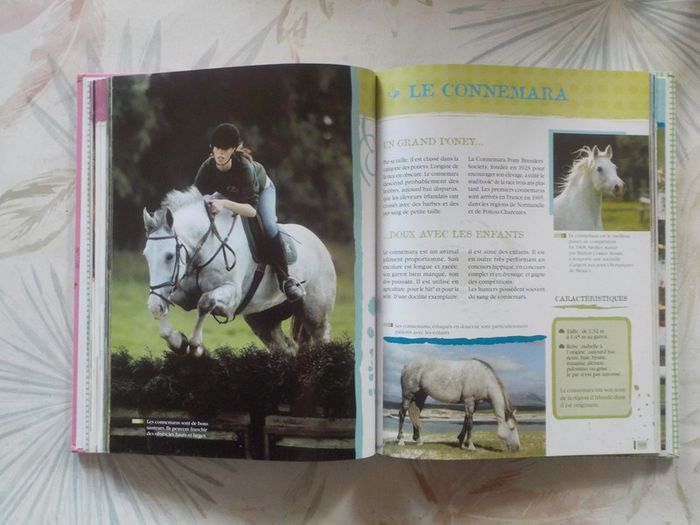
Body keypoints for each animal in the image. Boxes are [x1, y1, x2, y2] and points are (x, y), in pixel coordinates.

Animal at [142, 186, 336, 356]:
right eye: (146, 256)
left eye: (169, 256)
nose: (155, 304)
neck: (205, 247)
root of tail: (319, 243)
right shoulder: (182, 294)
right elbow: (165, 312)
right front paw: (179, 342)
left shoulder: (232, 296)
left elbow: (205, 302)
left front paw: (196, 347)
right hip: (263, 320)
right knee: (285, 349)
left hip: (315, 313)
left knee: (320, 336)